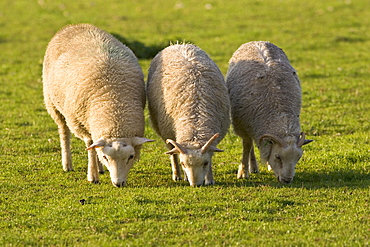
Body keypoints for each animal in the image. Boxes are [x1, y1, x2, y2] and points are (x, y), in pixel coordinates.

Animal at [42, 24, 154, 188]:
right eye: (106, 157)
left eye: (131, 156)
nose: (118, 183)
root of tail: (74, 25)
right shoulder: (79, 122)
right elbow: (90, 147)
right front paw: (92, 175)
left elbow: (94, 147)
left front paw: (97, 169)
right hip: (53, 104)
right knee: (64, 132)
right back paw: (67, 164)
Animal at [147, 43, 228, 186]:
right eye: (183, 164)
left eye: (205, 163)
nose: (195, 185)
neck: (195, 122)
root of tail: (178, 44)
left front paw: (209, 179)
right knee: (172, 153)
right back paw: (178, 175)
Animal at [225, 41, 312, 183]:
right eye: (277, 157)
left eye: (298, 158)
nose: (287, 180)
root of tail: (256, 41)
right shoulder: (243, 125)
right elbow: (246, 147)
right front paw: (243, 171)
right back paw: (253, 167)